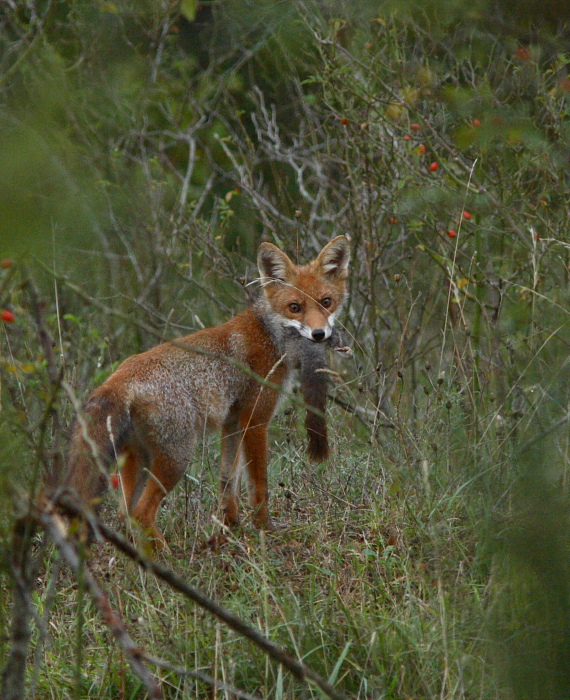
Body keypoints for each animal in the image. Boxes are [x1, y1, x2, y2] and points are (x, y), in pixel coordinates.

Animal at [66, 235, 350, 548]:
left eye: (326, 302)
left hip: (139, 461)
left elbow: (228, 481)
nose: (319, 335)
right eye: (295, 307)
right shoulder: (255, 420)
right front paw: (264, 529)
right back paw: (164, 556)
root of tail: (116, 379)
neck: (271, 335)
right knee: (141, 514)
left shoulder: (232, 423)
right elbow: (259, 485)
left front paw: (230, 528)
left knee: (125, 513)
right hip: (176, 459)